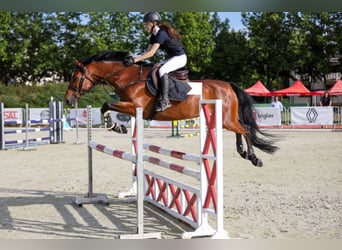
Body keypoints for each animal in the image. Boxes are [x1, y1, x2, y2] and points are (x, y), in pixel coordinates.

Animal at [65, 49, 278, 167]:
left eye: (75, 77)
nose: (67, 100)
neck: (128, 77)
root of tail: (228, 85)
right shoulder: (130, 107)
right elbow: (107, 107)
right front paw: (118, 126)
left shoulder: (135, 107)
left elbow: (106, 105)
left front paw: (114, 126)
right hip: (225, 118)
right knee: (240, 129)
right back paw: (242, 150)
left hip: (226, 118)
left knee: (245, 129)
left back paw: (253, 157)